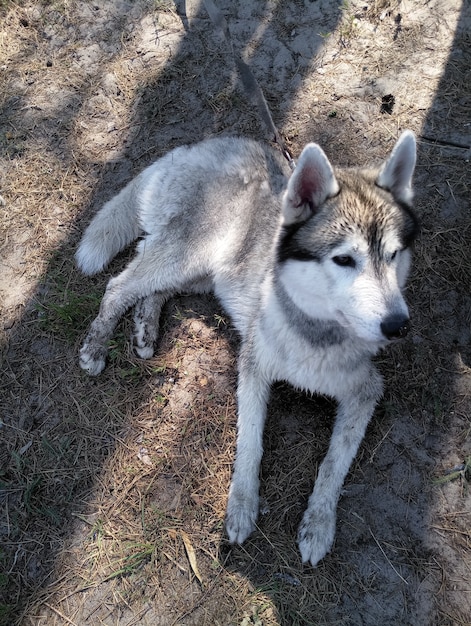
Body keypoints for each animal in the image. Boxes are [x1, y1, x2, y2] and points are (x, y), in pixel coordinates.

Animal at [77, 133, 420, 564]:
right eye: (344, 259)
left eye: (393, 256)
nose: (398, 325)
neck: (314, 332)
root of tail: (202, 145)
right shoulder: (253, 368)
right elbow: (250, 443)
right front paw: (241, 507)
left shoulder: (365, 391)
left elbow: (333, 463)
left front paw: (318, 524)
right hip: (188, 258)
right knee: (119, 285)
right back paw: (96, 345)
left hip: (204, 273)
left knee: (152, 288)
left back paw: (144, 329)